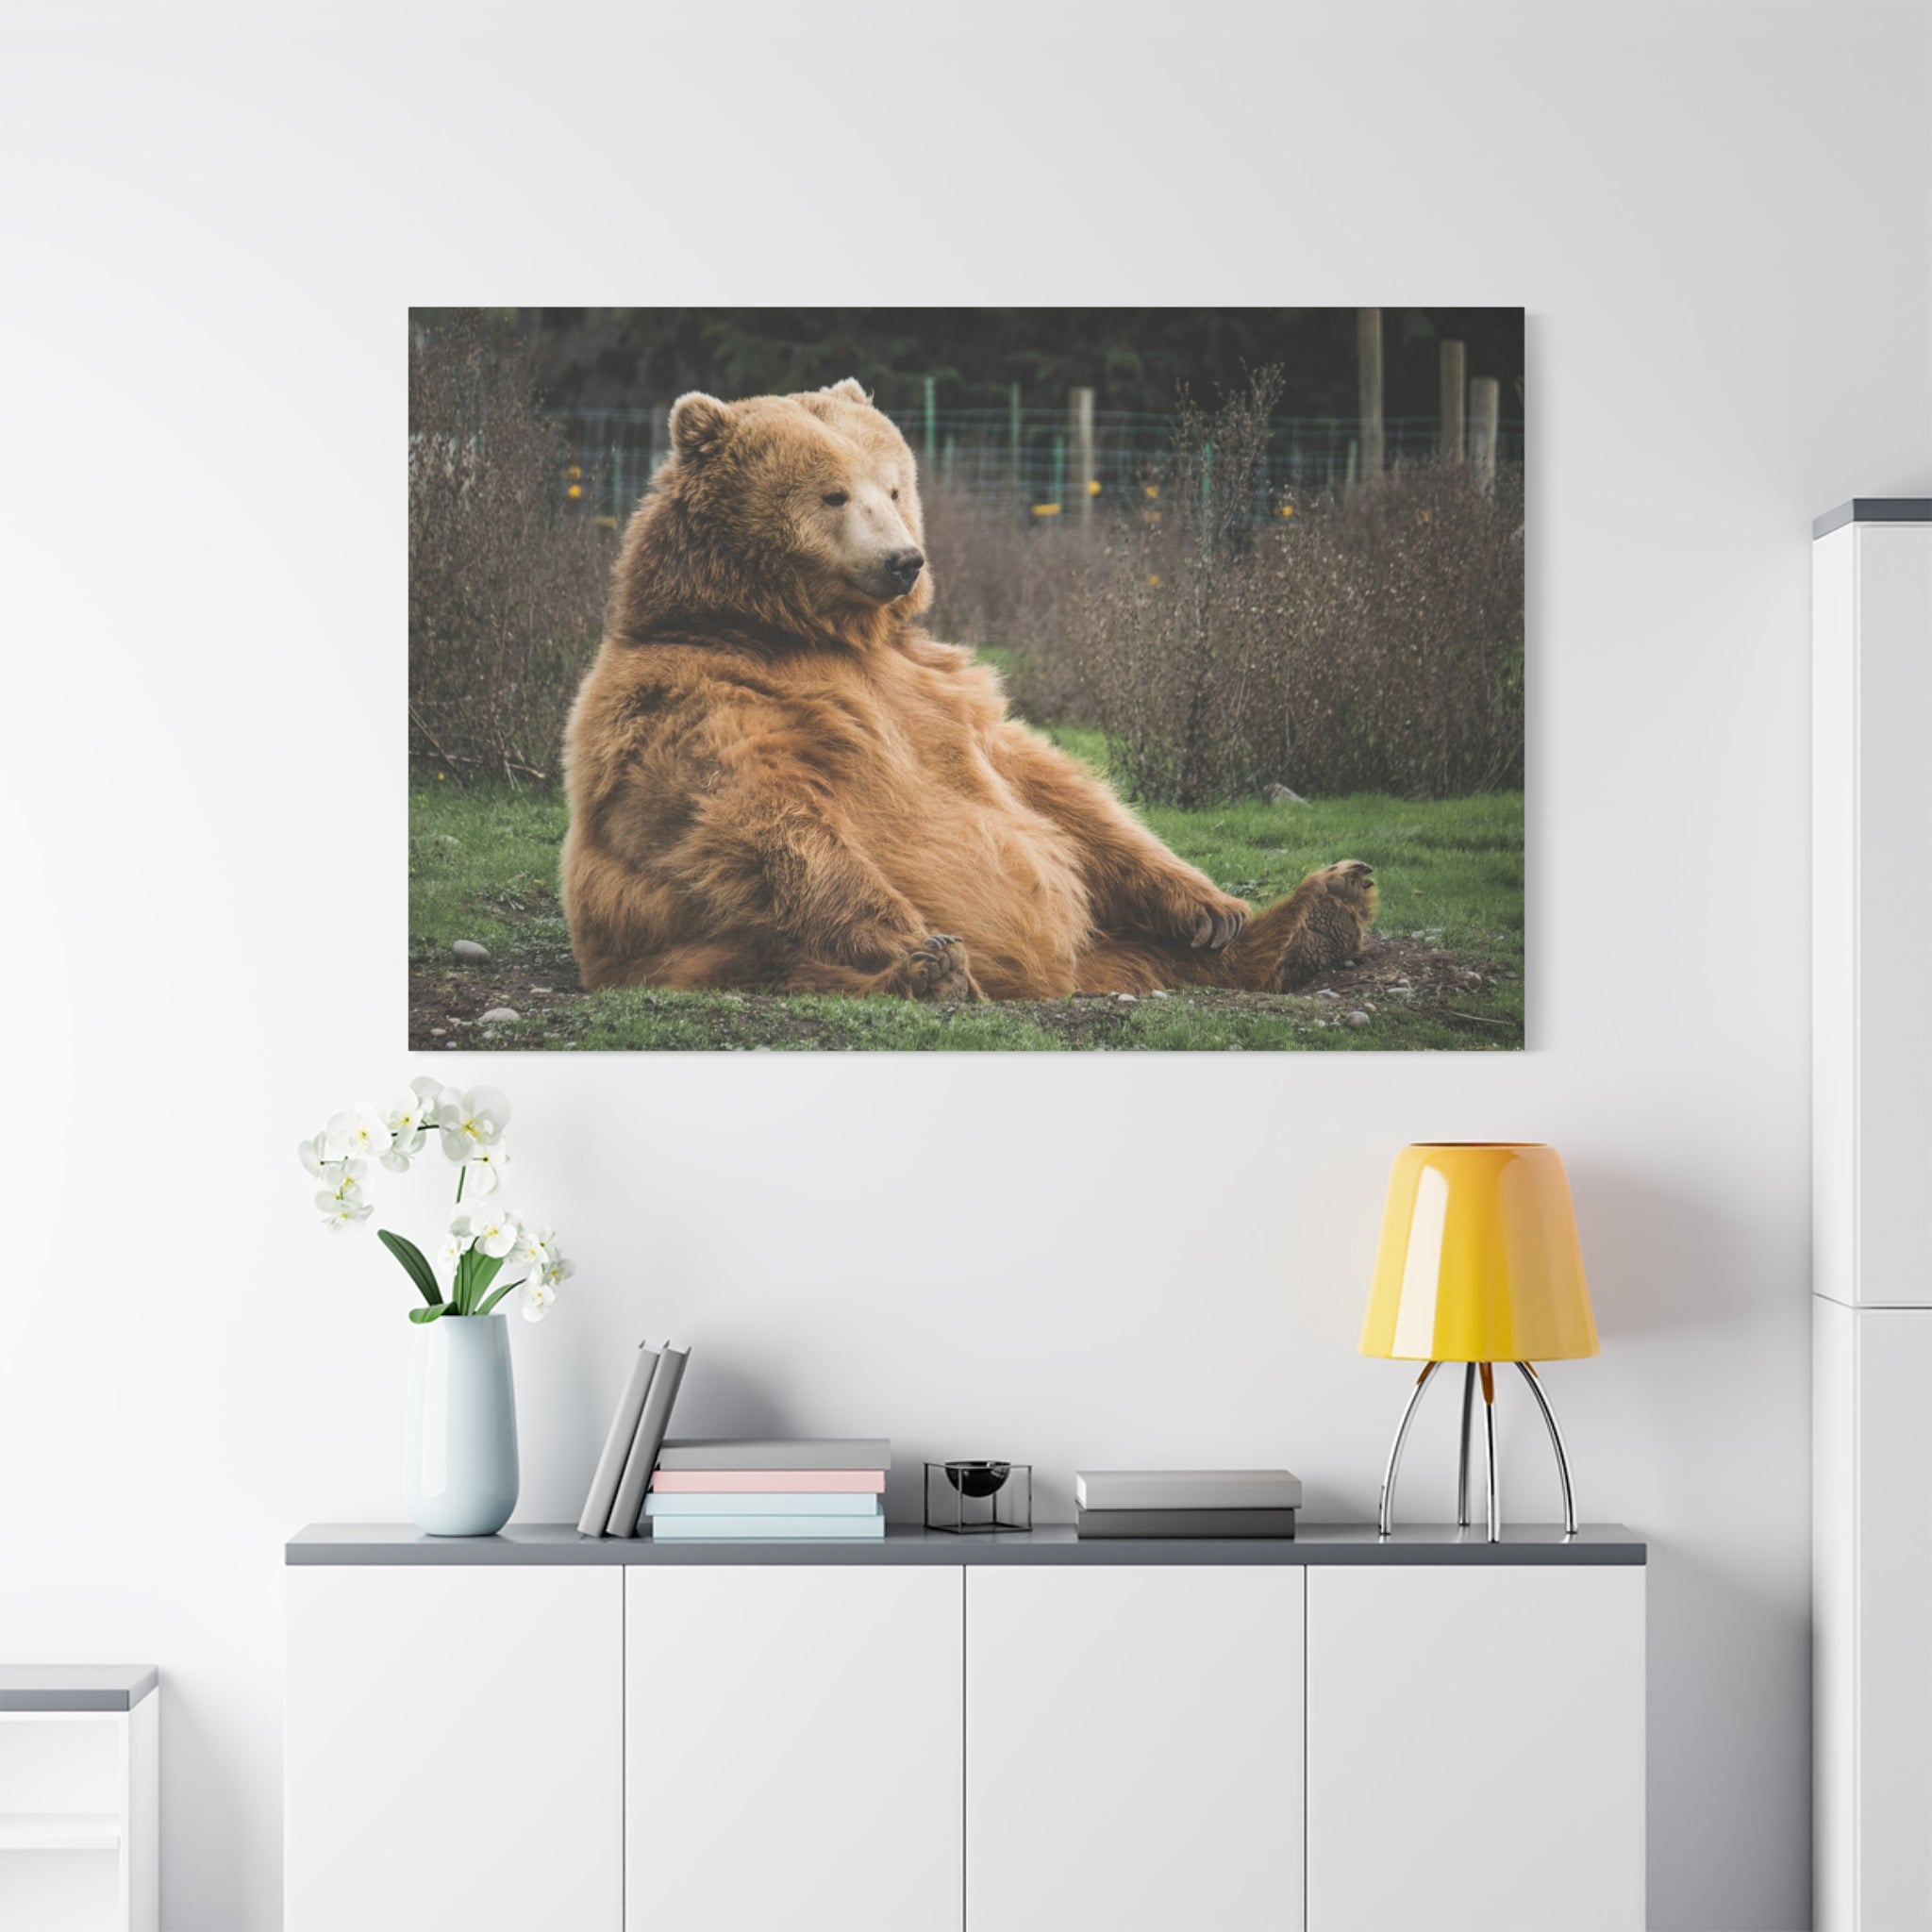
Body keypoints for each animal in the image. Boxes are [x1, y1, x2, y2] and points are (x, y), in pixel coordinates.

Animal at [560, 379, 1376, 1002]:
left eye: (894, 486)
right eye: (832, 495)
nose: (903, 560)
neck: (799, 631)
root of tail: (1054, 979)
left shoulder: (938, 689)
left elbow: (1052, 787)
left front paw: (1211, 906)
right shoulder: (695, 698)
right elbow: (761, 815)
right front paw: (915, 940)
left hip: (1106, 942)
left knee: (1153, 952)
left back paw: (1319, 912)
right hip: (689, 946)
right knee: (783, 960)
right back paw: (931, 973)